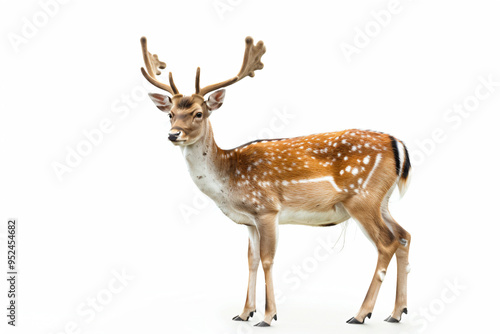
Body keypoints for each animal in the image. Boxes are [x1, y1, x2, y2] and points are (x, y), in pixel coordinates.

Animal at [139, 35, 412, 328]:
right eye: (170, 113)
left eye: (198, 113)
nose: (173, 134)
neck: (228, 177)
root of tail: (398, 144)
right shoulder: (249, 220)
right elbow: (251, 260)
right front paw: (244, 313)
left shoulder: (267, 208)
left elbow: (267, 259)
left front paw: (269, 316)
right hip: (382, 200)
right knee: (404, 235)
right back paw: (396, 313)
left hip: (362, 198)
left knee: (387, 242)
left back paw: (361, 314)